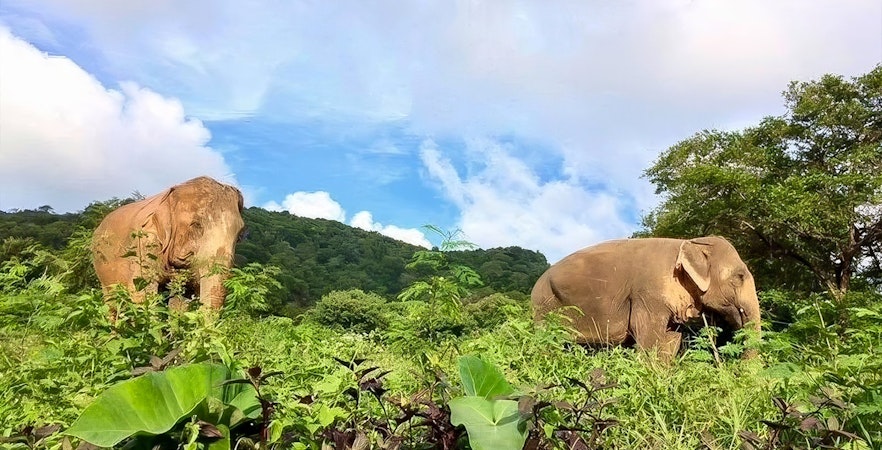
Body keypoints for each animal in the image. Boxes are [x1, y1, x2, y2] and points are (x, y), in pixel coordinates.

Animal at [531, 236, 761, 360]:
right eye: (739, 277)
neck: (690, 243)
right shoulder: (647, 293)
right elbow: (648, 335)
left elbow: (671, 339)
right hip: (545, 306)